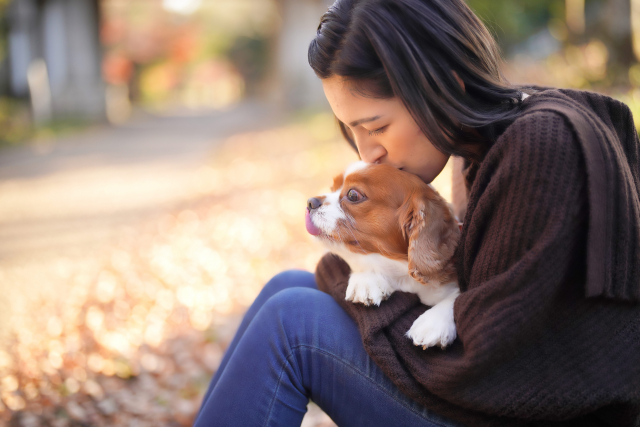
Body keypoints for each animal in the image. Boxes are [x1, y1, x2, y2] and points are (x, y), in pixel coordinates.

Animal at [304, 162, 460, 350]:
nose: (310, 202)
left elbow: (458, 295)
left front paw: (434, 322)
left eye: (353, 195)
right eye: (332, 188)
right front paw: (366, 281)